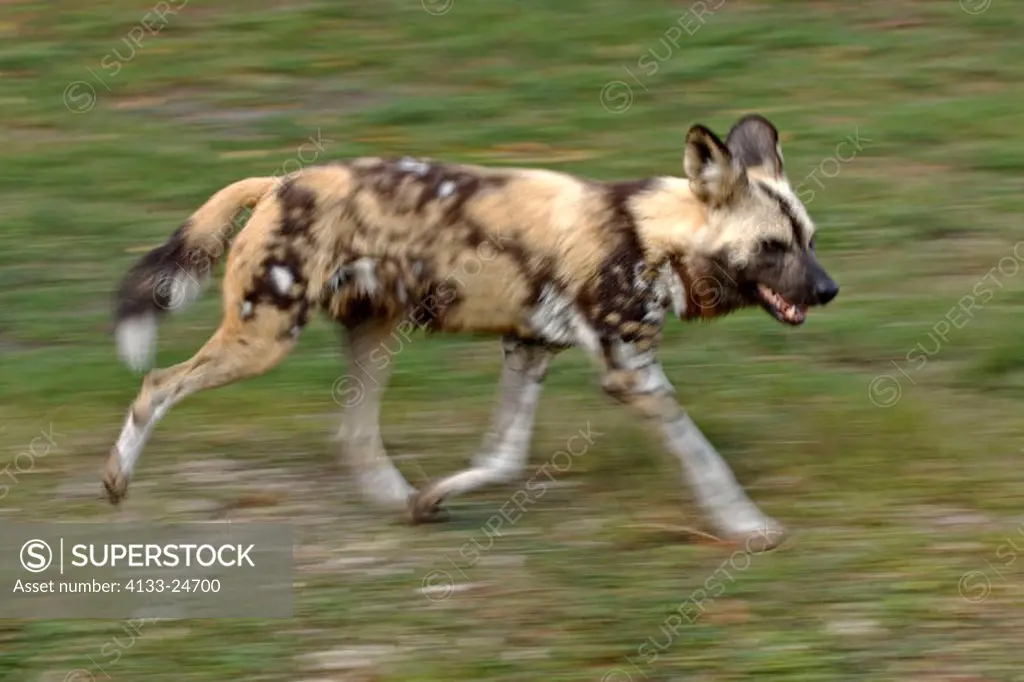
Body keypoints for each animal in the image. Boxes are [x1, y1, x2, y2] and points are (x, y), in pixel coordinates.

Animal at [105, 111, 839, 548]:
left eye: (809, 240)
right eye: (773, 247)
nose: (829, 290)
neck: (651, 235)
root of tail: (280, 181)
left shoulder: (531, 347)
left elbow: (503, 456)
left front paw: (434, 496)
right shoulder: (632, 372)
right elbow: (705, 459)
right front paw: (748, 525)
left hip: (373, 335)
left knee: (353, 433)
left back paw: (402, 501)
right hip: (264, 340)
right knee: (157, 384)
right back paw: (116, 481)